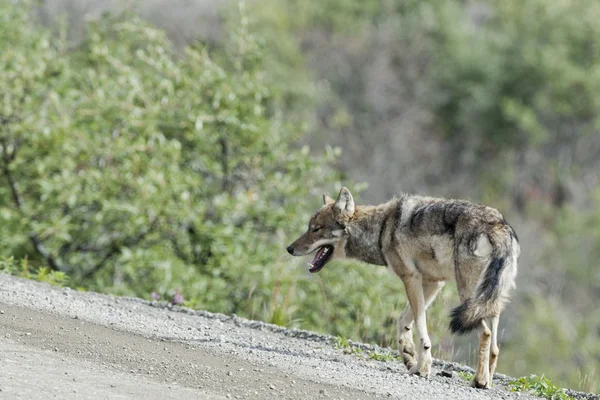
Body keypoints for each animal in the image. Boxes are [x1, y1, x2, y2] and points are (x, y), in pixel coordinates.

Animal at [288, 187, 520, 388]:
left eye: (315, 229)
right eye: (309, 228)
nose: (289, 248)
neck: (381, 229)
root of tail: (499, 225)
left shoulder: (411, 278)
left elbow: (421, 331)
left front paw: (422, 368)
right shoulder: (432, 282)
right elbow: (403, 320)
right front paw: (409, 355)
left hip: (468, 298)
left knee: (486, 334)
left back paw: (479, 381)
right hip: (489, 302)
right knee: (495, 348)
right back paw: (487, 381)